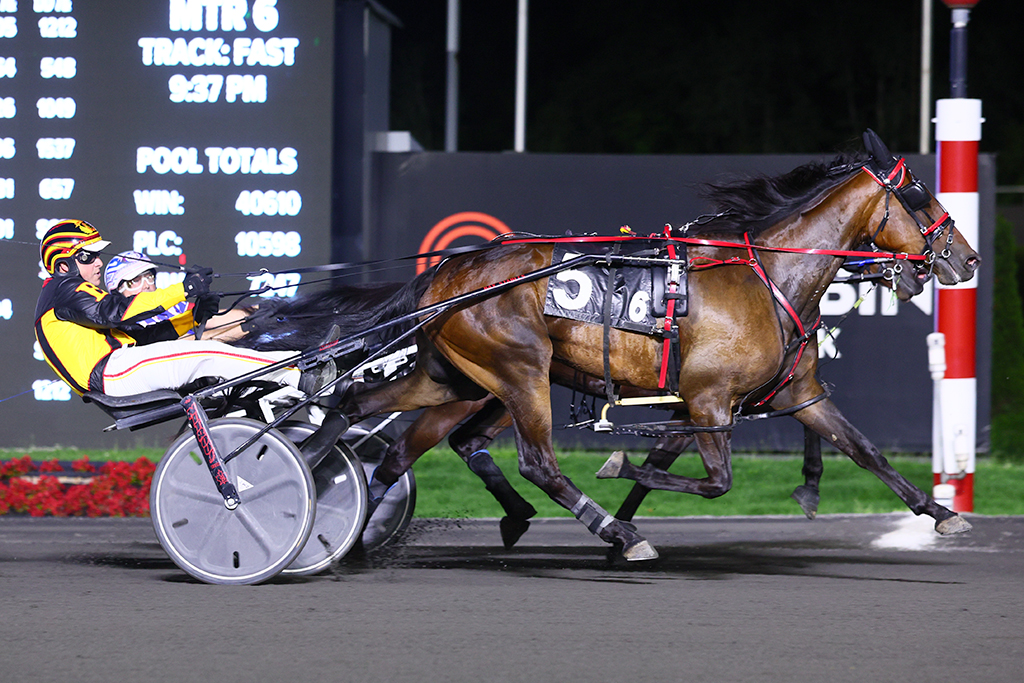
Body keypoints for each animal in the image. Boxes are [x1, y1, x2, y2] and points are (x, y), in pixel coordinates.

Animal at [331, 133, 978, 561]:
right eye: (919, 192)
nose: (967, 259)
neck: (768, 276)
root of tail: (449, 272)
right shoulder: (709, 398)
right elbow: (714, 481)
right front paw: (620, 483)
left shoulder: (792, 393)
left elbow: (867, 452)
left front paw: (942, 514)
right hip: (518, 373)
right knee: (536, 462)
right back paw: (610, 531)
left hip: (456, 377)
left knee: (381, 431)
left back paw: (356, 522)